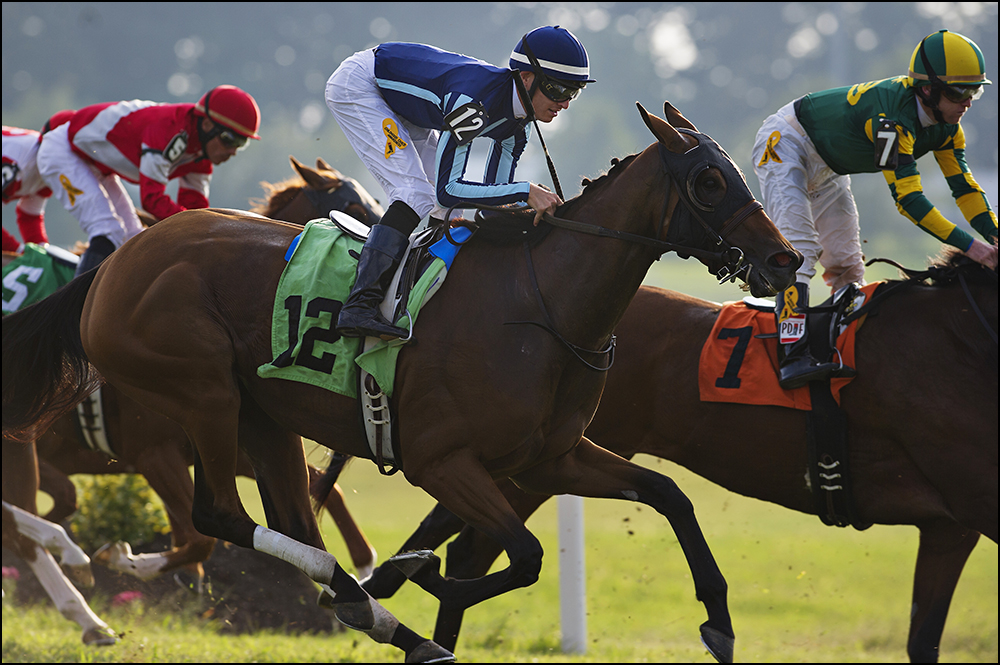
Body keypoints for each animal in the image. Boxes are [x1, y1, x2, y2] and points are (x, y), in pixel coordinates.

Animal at [0, 101, 796, 660]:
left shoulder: (551, 457)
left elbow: (668, 495)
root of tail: (117, 264)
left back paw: (376, 613)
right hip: (201, 394)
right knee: (218, 516)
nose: (783, 259)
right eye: (708, 179)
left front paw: (720, 624)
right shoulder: (442, 462)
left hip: (262, 418)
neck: (539, 305)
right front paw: (412, 569)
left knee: (290, 522)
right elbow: (522, 554)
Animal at [356, 249, 996, 660]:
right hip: (534, 460)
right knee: (471, 548)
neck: (958, 340)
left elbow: (924, 641)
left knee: (465, 544)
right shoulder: (974, 502)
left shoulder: (950, 526)